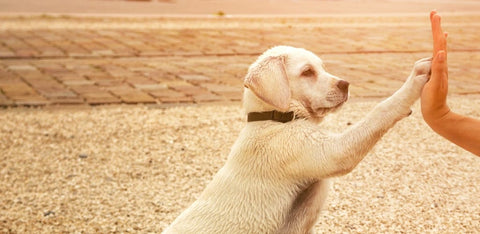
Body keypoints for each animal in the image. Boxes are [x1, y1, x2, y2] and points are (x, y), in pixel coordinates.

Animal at [164, 46, 432, 234]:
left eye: (321, 67)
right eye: (307, 72)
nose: (345, 84)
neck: (275, 118)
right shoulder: (329, 152)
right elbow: (379, 111)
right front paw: (415, 79)